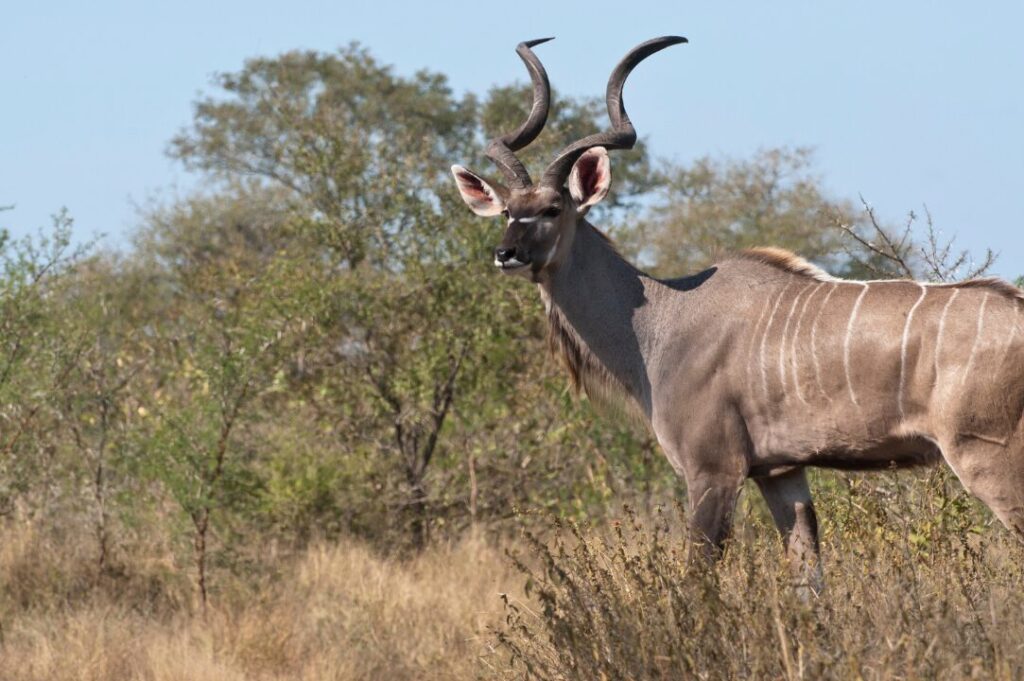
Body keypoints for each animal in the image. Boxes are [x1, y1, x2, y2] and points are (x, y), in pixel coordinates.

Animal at [451, 36, 1024, 584]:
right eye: (507, 211)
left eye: (552, 210)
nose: (506, 253)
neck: (660, 323)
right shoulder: (781, 473)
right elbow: (807, 577)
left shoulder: (714, 471)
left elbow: (697, 582)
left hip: (988, 458)